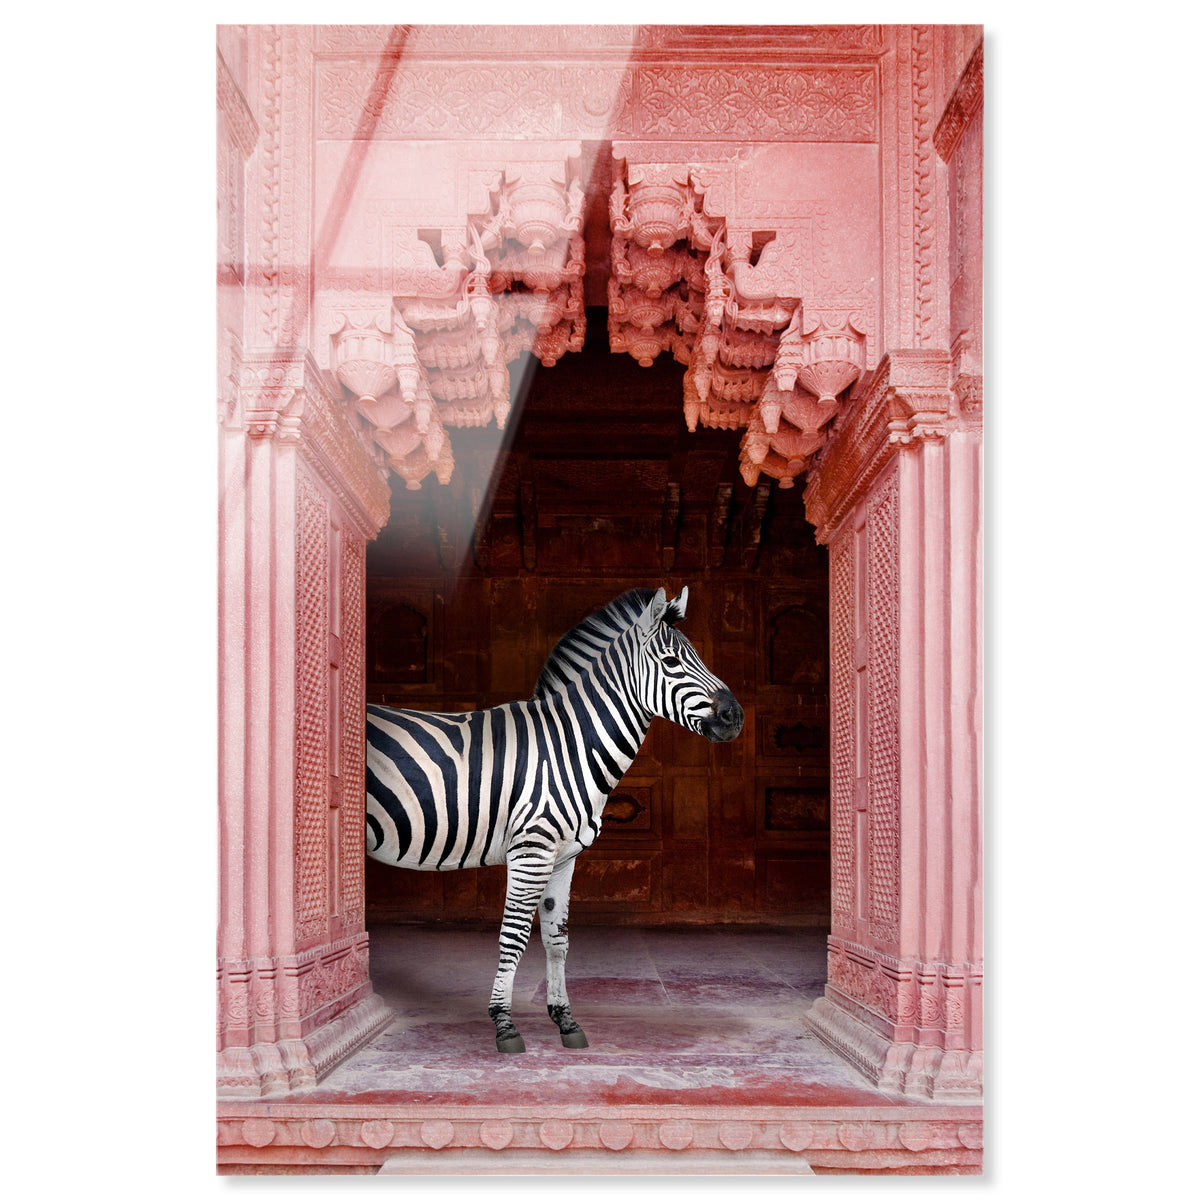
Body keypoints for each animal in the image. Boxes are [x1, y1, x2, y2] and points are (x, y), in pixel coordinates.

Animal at [365, 585, 744, 1053]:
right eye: (672, 663)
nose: (735, 717)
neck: (568, 747)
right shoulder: (532, 851)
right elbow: (513, 937)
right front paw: (504, 1024)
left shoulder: (564, 857)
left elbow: (556, 938)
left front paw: (565, 1020)